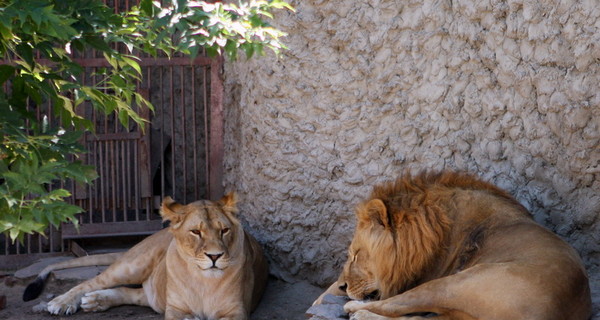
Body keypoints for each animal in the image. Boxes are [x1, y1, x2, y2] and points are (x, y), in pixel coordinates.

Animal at [22, 192, 268, 320]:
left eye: (224, 230)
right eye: (196, 232)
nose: (215, 256)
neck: (203, 280)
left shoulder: (236, 311)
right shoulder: (174, 309)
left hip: (153, 294)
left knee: (131, 294)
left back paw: (95, 301)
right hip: (133, 265)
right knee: (90, 282)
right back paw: (62, 302)